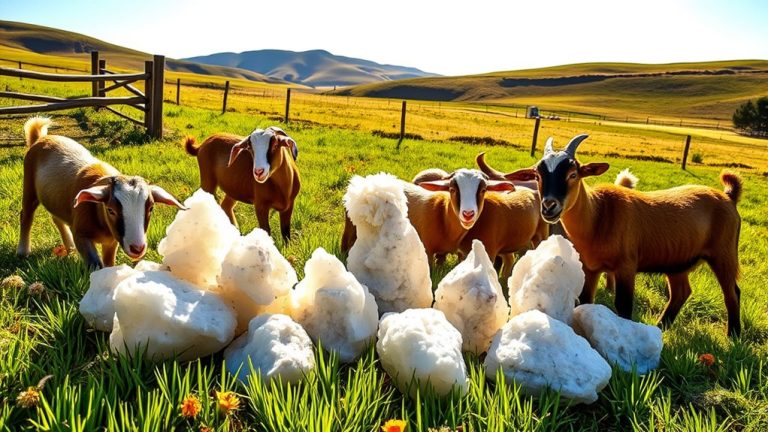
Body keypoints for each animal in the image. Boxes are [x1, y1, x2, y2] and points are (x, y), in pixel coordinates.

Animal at [18, 117, 185, 269]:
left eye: (151, 208)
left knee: (57, 218)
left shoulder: (112, 242)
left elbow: (109, 264)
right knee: (26, 215)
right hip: (29, 186)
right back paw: (23, 251)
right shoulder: (81, 235)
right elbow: (95, 265)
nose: (137, 248)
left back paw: (69, 247)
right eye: (110, 210)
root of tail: (40, 138)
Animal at [480, 134, 743, 336]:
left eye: (573, 174)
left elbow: (623, 305)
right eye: (537, 175)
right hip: (678, 261)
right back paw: (662, 326)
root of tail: (728, 197)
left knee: (732, 292)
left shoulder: (626, 266)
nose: (549, 206)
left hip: (724, 253)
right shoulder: (591, 267)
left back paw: (733, 335)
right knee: (681, 292)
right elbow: (586, 300)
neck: (599, 215)